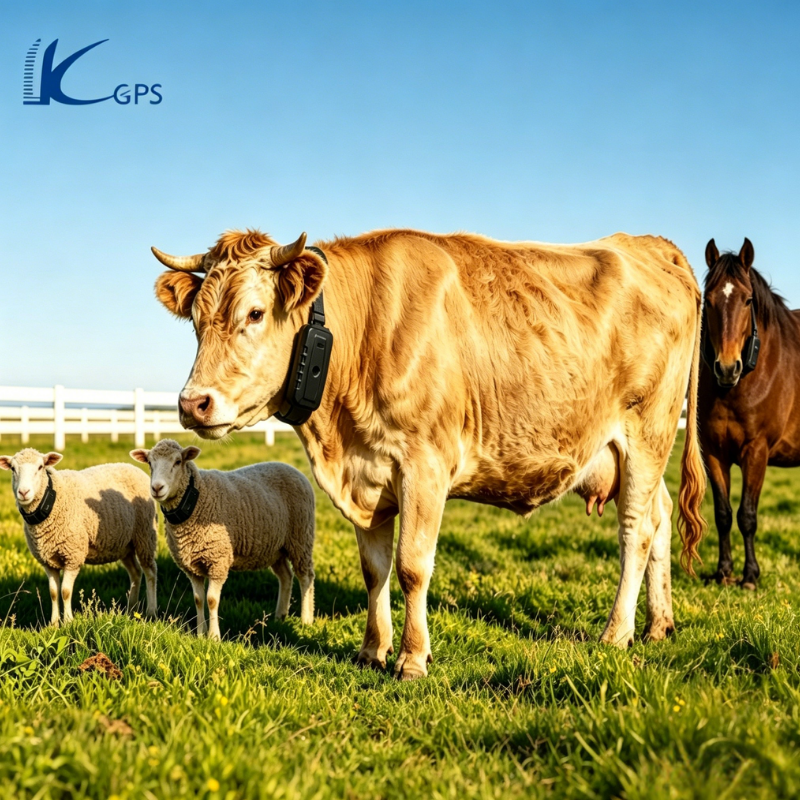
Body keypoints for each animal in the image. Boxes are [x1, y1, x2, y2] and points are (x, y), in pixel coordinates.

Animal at [698, 237, 800, 589]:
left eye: (747, 300)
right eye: (708, 299)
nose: (727, 368)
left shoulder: (756, 452)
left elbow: (747, 515)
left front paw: (750, 576)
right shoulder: (713, 453)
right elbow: (723, 514)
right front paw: (724, 571)